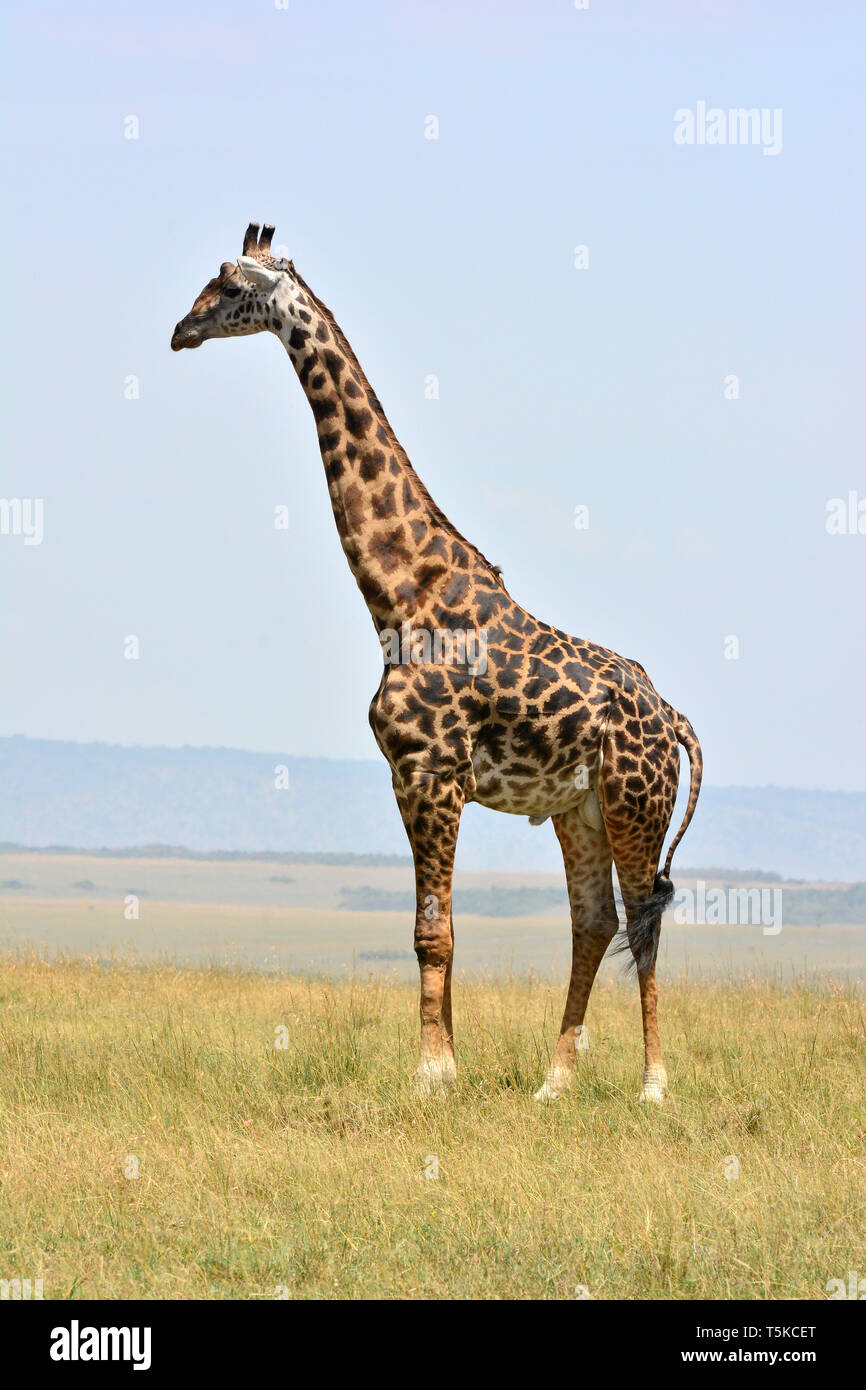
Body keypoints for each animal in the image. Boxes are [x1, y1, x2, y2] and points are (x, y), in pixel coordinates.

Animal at [170, 222, 706, 1100]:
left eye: (228, 282)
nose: (181, 329)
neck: (397, 593)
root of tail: (678, 722)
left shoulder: (430, 772)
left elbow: (433, 933)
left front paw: (430, 1072)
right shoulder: (412, 776)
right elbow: (435, 929)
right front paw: (446, 1066)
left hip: (637, 801)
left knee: (643, 920)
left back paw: (653, 1085)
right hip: (581, 808)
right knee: (594, 920)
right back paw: (553, 1082)